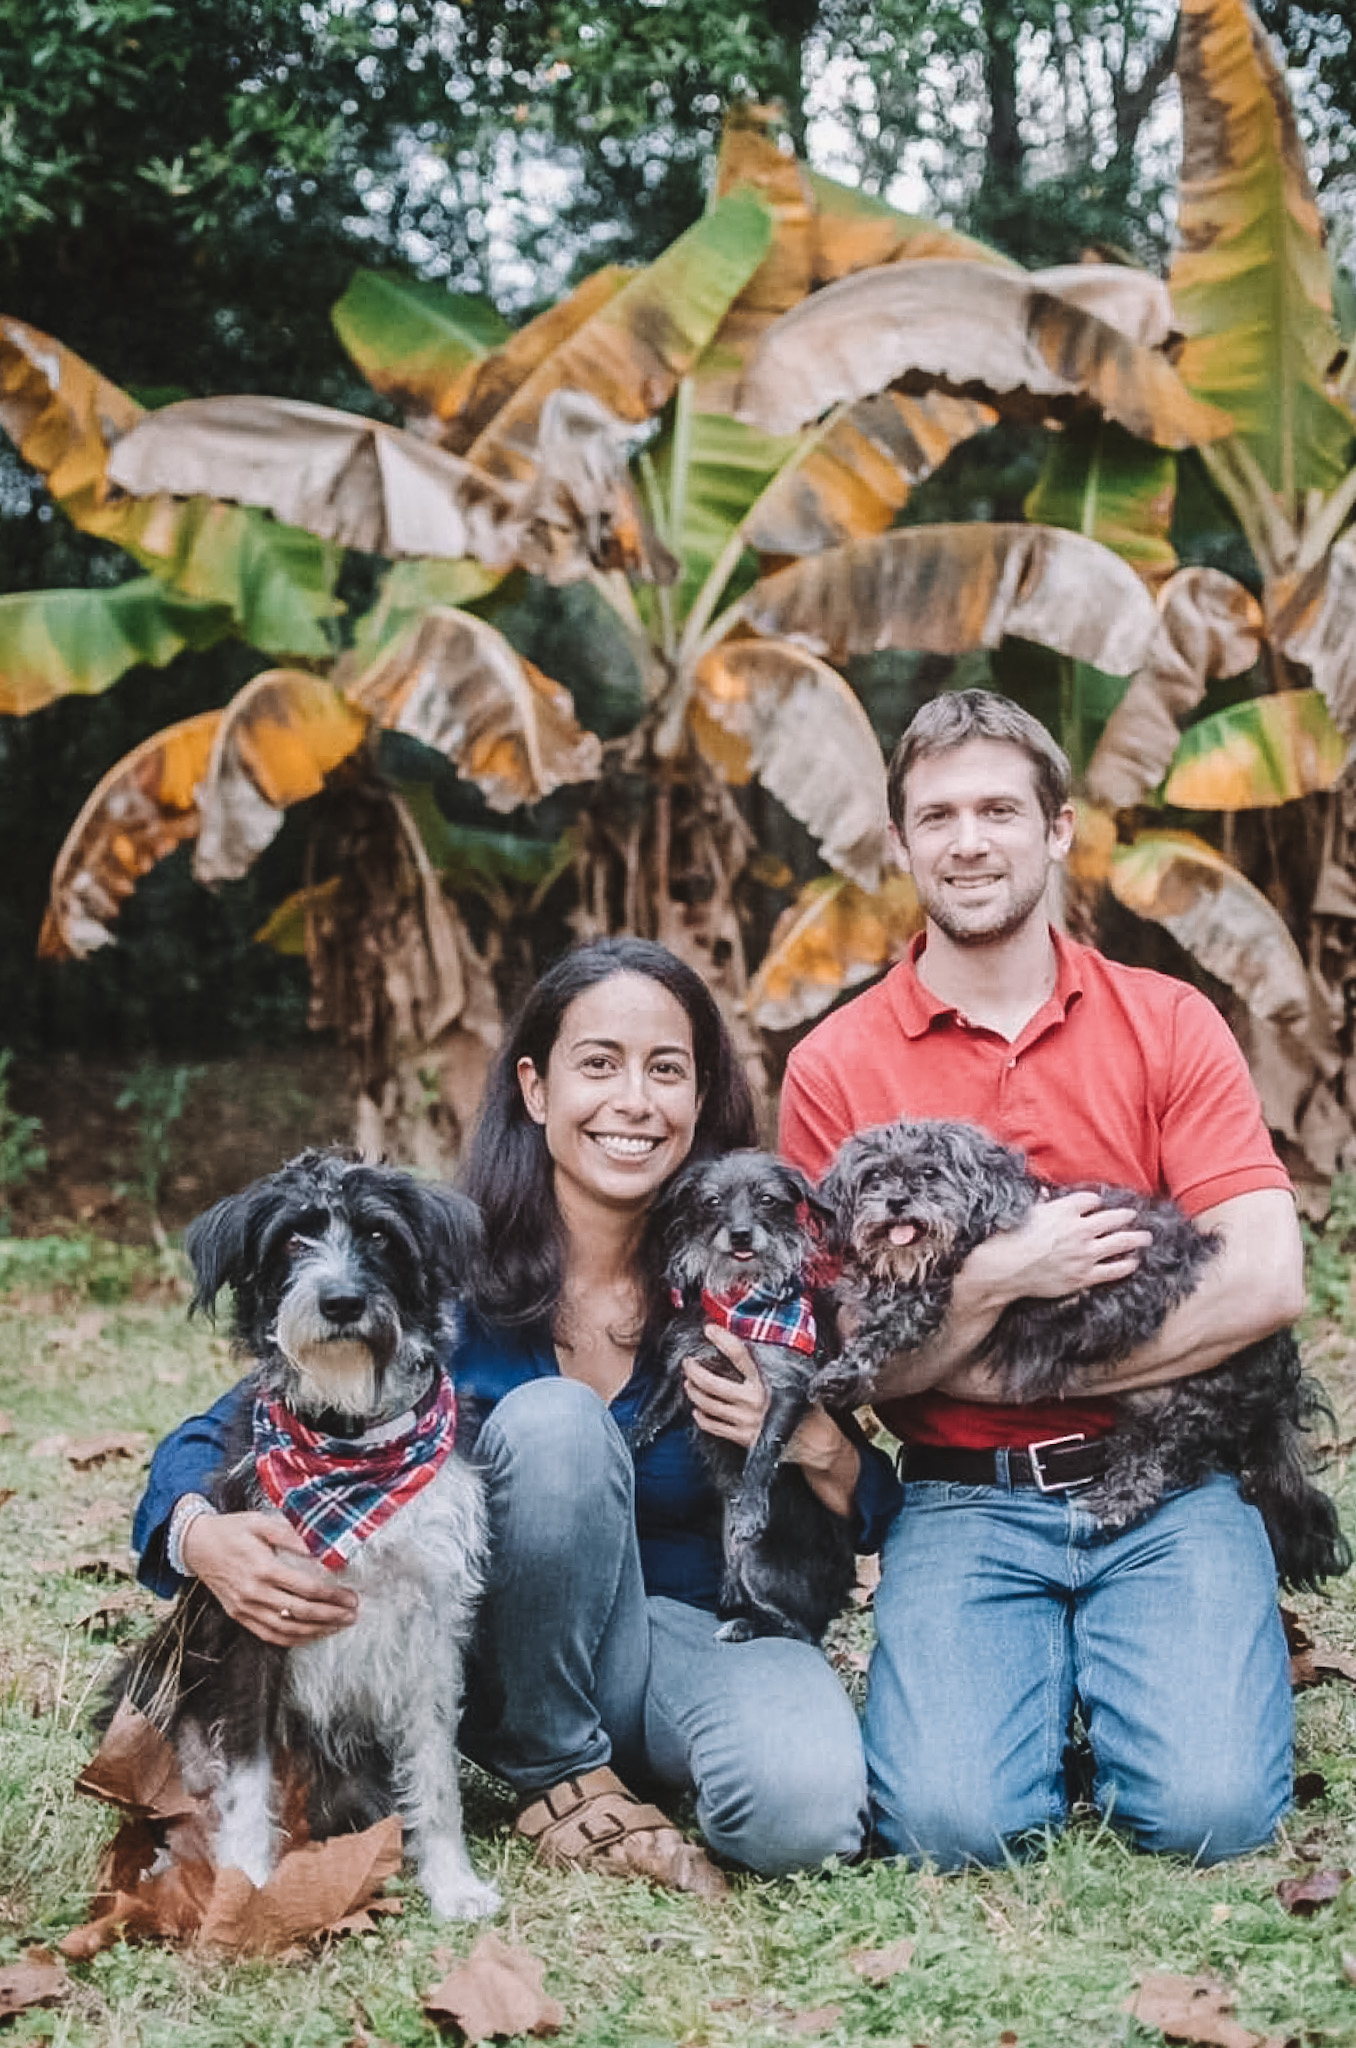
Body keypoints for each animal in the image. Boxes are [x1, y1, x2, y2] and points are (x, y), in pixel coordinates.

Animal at [111, 1155, 501, 1916]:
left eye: (379, 1234)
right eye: (293, 1240)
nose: (341, 1302)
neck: (347, 1440)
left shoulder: (432, 1628)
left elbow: (435, 1772)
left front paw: (451, 1883)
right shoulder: (253, 1628)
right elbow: (246, 1777)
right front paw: (245, 1887)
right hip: (148, 1684)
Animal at [643, 1155, 856, 1646]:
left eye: (767, 1199)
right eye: (711, 1201)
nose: (740, 1234)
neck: (742, 1302)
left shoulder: (788, 1384)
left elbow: (764, 1447)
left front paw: (755, 1504)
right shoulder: (686, 1364)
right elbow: (652, 1408)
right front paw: (627, 1437)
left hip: (758, 1561)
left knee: (800, 1632)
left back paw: (745, 1626)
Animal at [811, 1114, 1351, 1589]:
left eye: (929, 1172)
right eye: (875, 1176)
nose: (897, 1202)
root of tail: (1283, 1377)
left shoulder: (936, 1290)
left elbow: (885, 1327)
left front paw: (839, 1374)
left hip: (1187, 1402)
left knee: (1163, 1465)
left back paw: (1117, 1501)